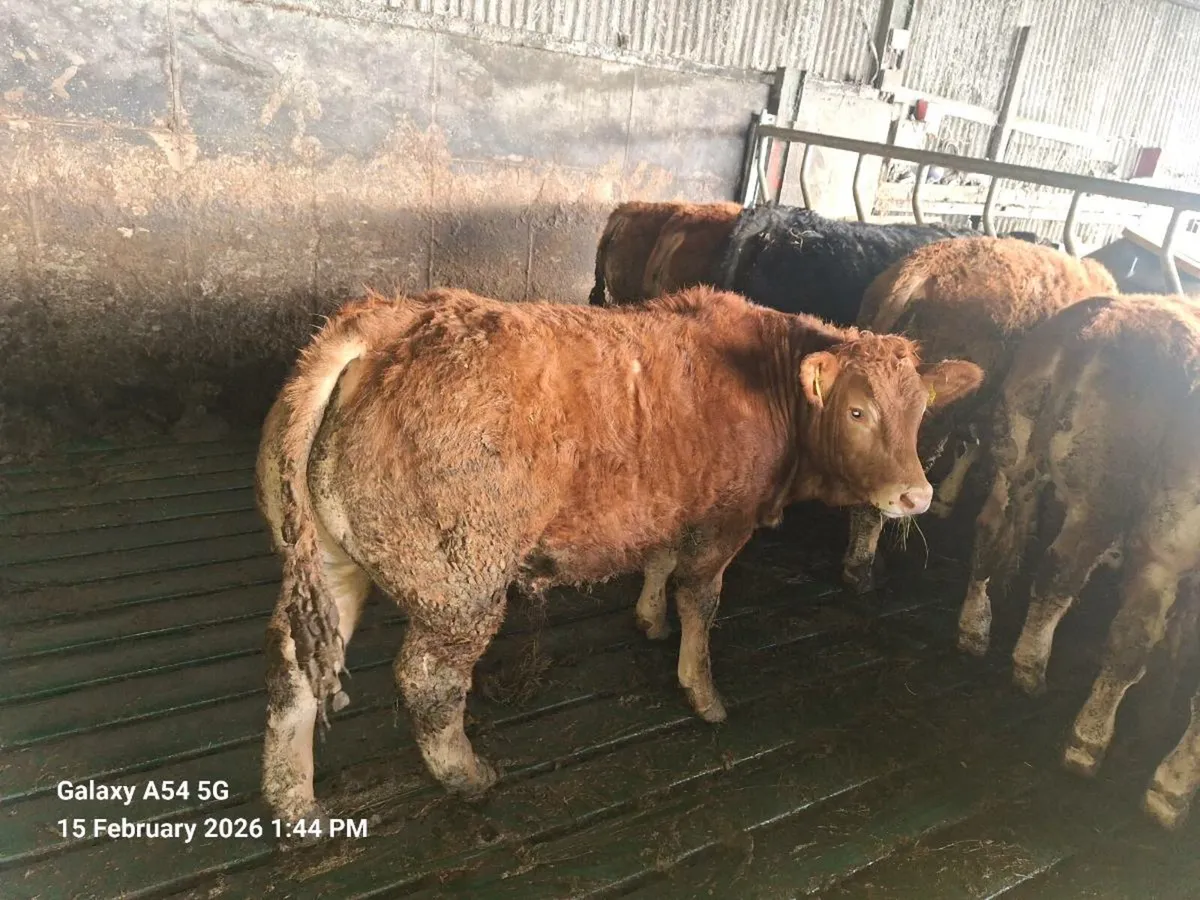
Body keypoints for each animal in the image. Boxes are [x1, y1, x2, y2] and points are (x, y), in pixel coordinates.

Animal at [256, 285, 983, 827]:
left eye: (920, 412)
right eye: (857, 411)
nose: (915, 495)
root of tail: (387, 319)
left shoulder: (668, 507)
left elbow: (659, 563)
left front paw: (649, 619)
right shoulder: (723, 523)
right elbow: (701, 601)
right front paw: (702, 691)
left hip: (330, 562)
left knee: (291, 667)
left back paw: (294, 800)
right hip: (461, 581)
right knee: (428, 681)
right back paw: (466, 775)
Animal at [953, 293, 1200, 829]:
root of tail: (1096, 328)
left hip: (1014, 458)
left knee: (988, 532)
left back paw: (975, 628)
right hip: (1111, 506)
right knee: (1072, 589)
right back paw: (1068, 717)